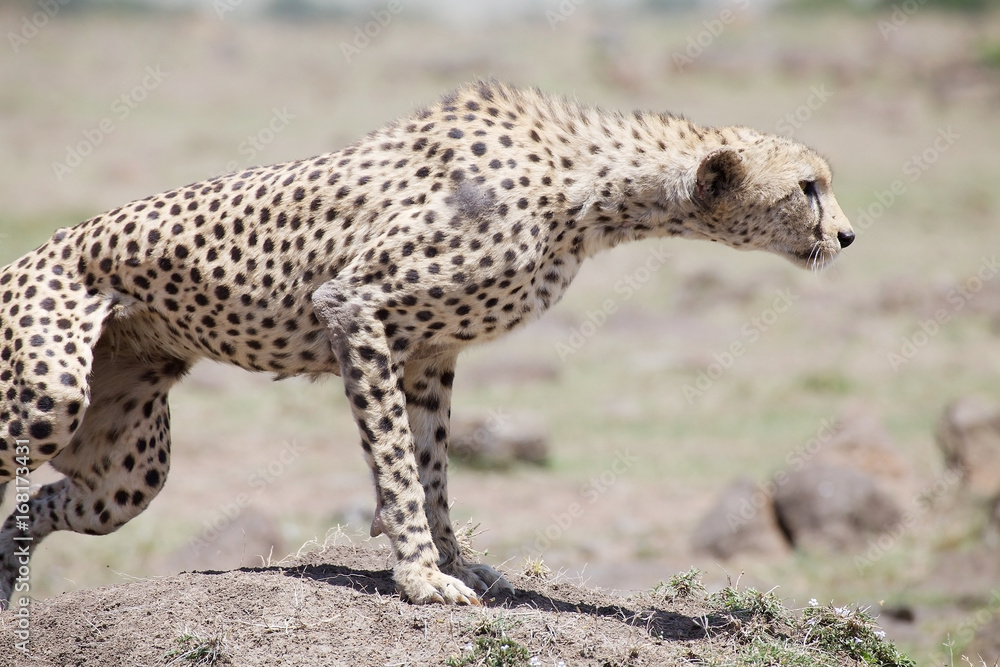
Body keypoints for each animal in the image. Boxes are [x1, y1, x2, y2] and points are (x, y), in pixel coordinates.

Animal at [0, 81, 852, 608]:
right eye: (807, 186)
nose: (847, 235)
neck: (587, 189)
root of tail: (30, 255)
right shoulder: (355, 307)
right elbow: (399, 467)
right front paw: (420, 575)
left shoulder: (430, 353)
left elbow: (434, 464)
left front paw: (456, 560)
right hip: (48, 398)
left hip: (128, 468)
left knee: (30, 510)